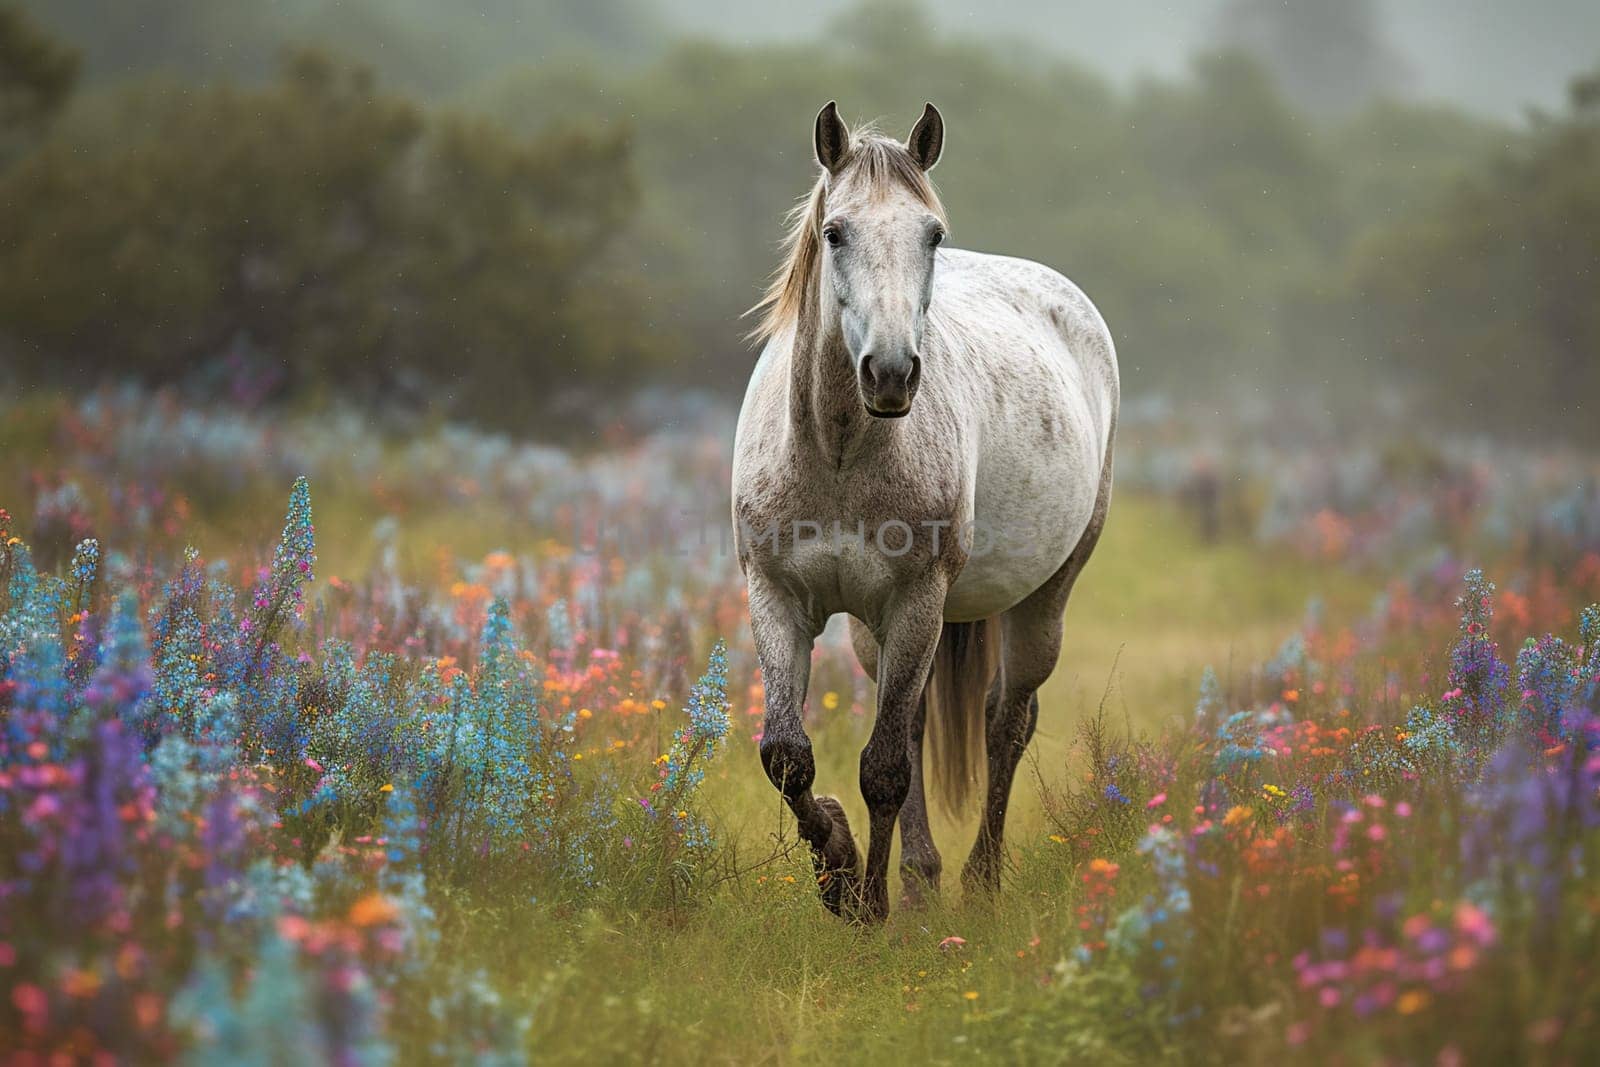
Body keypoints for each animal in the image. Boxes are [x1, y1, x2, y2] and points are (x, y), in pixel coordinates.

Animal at [732, 103, 1120, 921]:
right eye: (835, 231)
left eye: (932, 235)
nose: (890, 372)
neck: (838, 454)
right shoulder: (777, 595)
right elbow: (789, 757)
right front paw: (841, 868)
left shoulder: (918, 598)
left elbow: (883, 767)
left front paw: (869, 903)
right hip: (876, 630)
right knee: (911, 721)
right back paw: (921, 877)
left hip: (1042, 596)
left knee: (1006, 723)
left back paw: (978, 881)